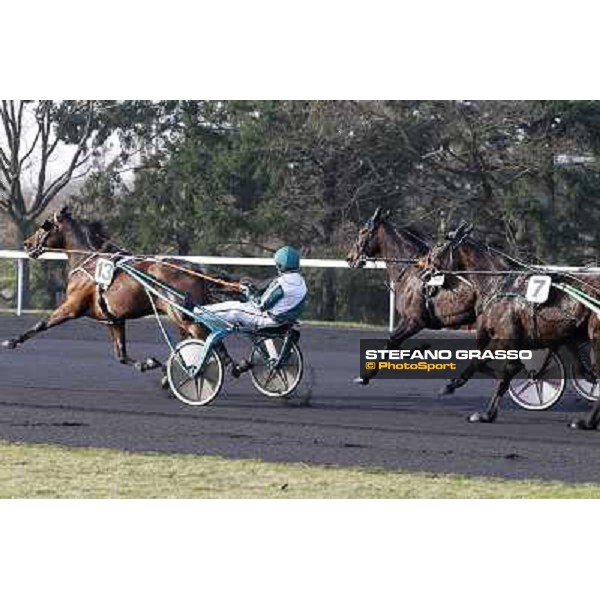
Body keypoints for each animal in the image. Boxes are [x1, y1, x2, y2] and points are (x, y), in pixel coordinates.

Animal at [344, 211, 494, 382]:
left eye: (363, 231)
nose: (350, 258)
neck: (411, 272)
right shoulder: (406, 319)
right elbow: (392, 341)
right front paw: (419, 348)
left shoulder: (415, 321)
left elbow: (392, 341)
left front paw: (366, 375)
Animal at [420, 227, 600, 428]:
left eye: (439, 245)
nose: (424, 272)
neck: (499, 285)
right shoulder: (559, 334)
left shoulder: (504, 336)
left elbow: (495, 367)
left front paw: (480, 409)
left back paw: (587, 422)